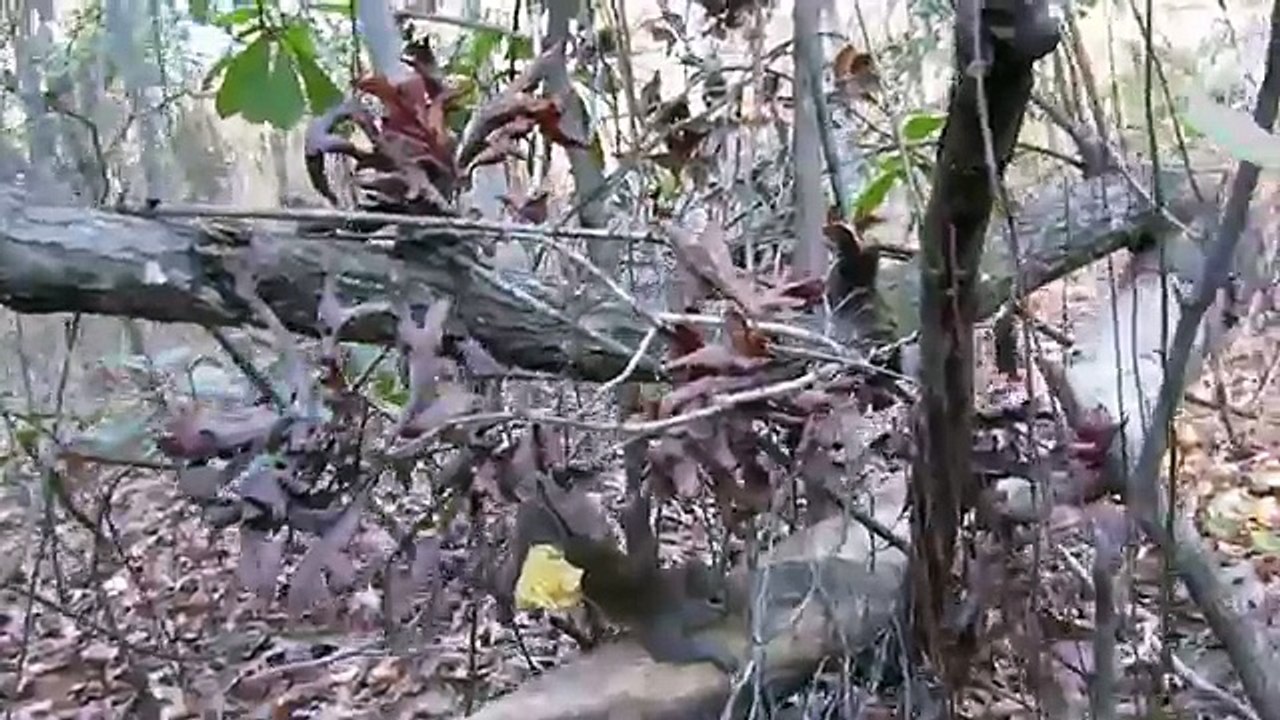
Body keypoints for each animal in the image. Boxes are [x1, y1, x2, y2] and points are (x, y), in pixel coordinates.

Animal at [504, 486, 741, 674]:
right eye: (714, 600)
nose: (729, 609)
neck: (678, 591)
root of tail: (573, 543)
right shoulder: (661, 622)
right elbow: (673, 650)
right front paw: (719, 654)